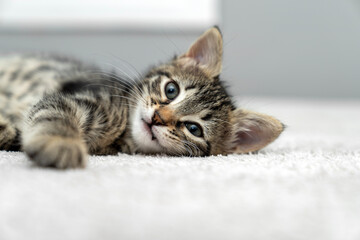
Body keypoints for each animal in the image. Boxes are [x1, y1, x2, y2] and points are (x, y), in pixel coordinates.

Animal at [0, 26, 284, 169]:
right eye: (171, 90)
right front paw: (61, 143)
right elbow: (55, 116)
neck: (122, 132)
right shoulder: (69, 96)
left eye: (194, 129)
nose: (158, 117)